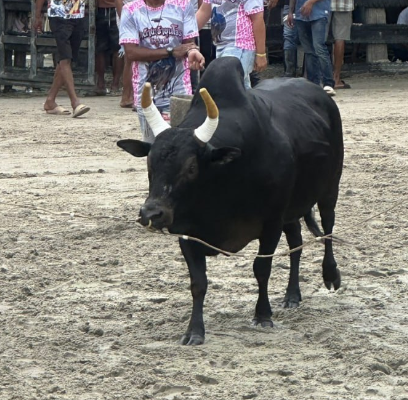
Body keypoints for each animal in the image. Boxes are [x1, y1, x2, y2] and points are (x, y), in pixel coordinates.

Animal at [117, 57, 344, 345]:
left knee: (327, 230)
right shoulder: (187, 232)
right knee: (296, 244)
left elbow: (262, 268)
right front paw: (194, 331)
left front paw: (263, 315)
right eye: (149, 162)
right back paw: (292, 295)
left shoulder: (270, 223)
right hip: (291, 211)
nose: (152, 213)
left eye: (191, 167)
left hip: (329, 190)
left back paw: (331, 275)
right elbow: (198, 282)